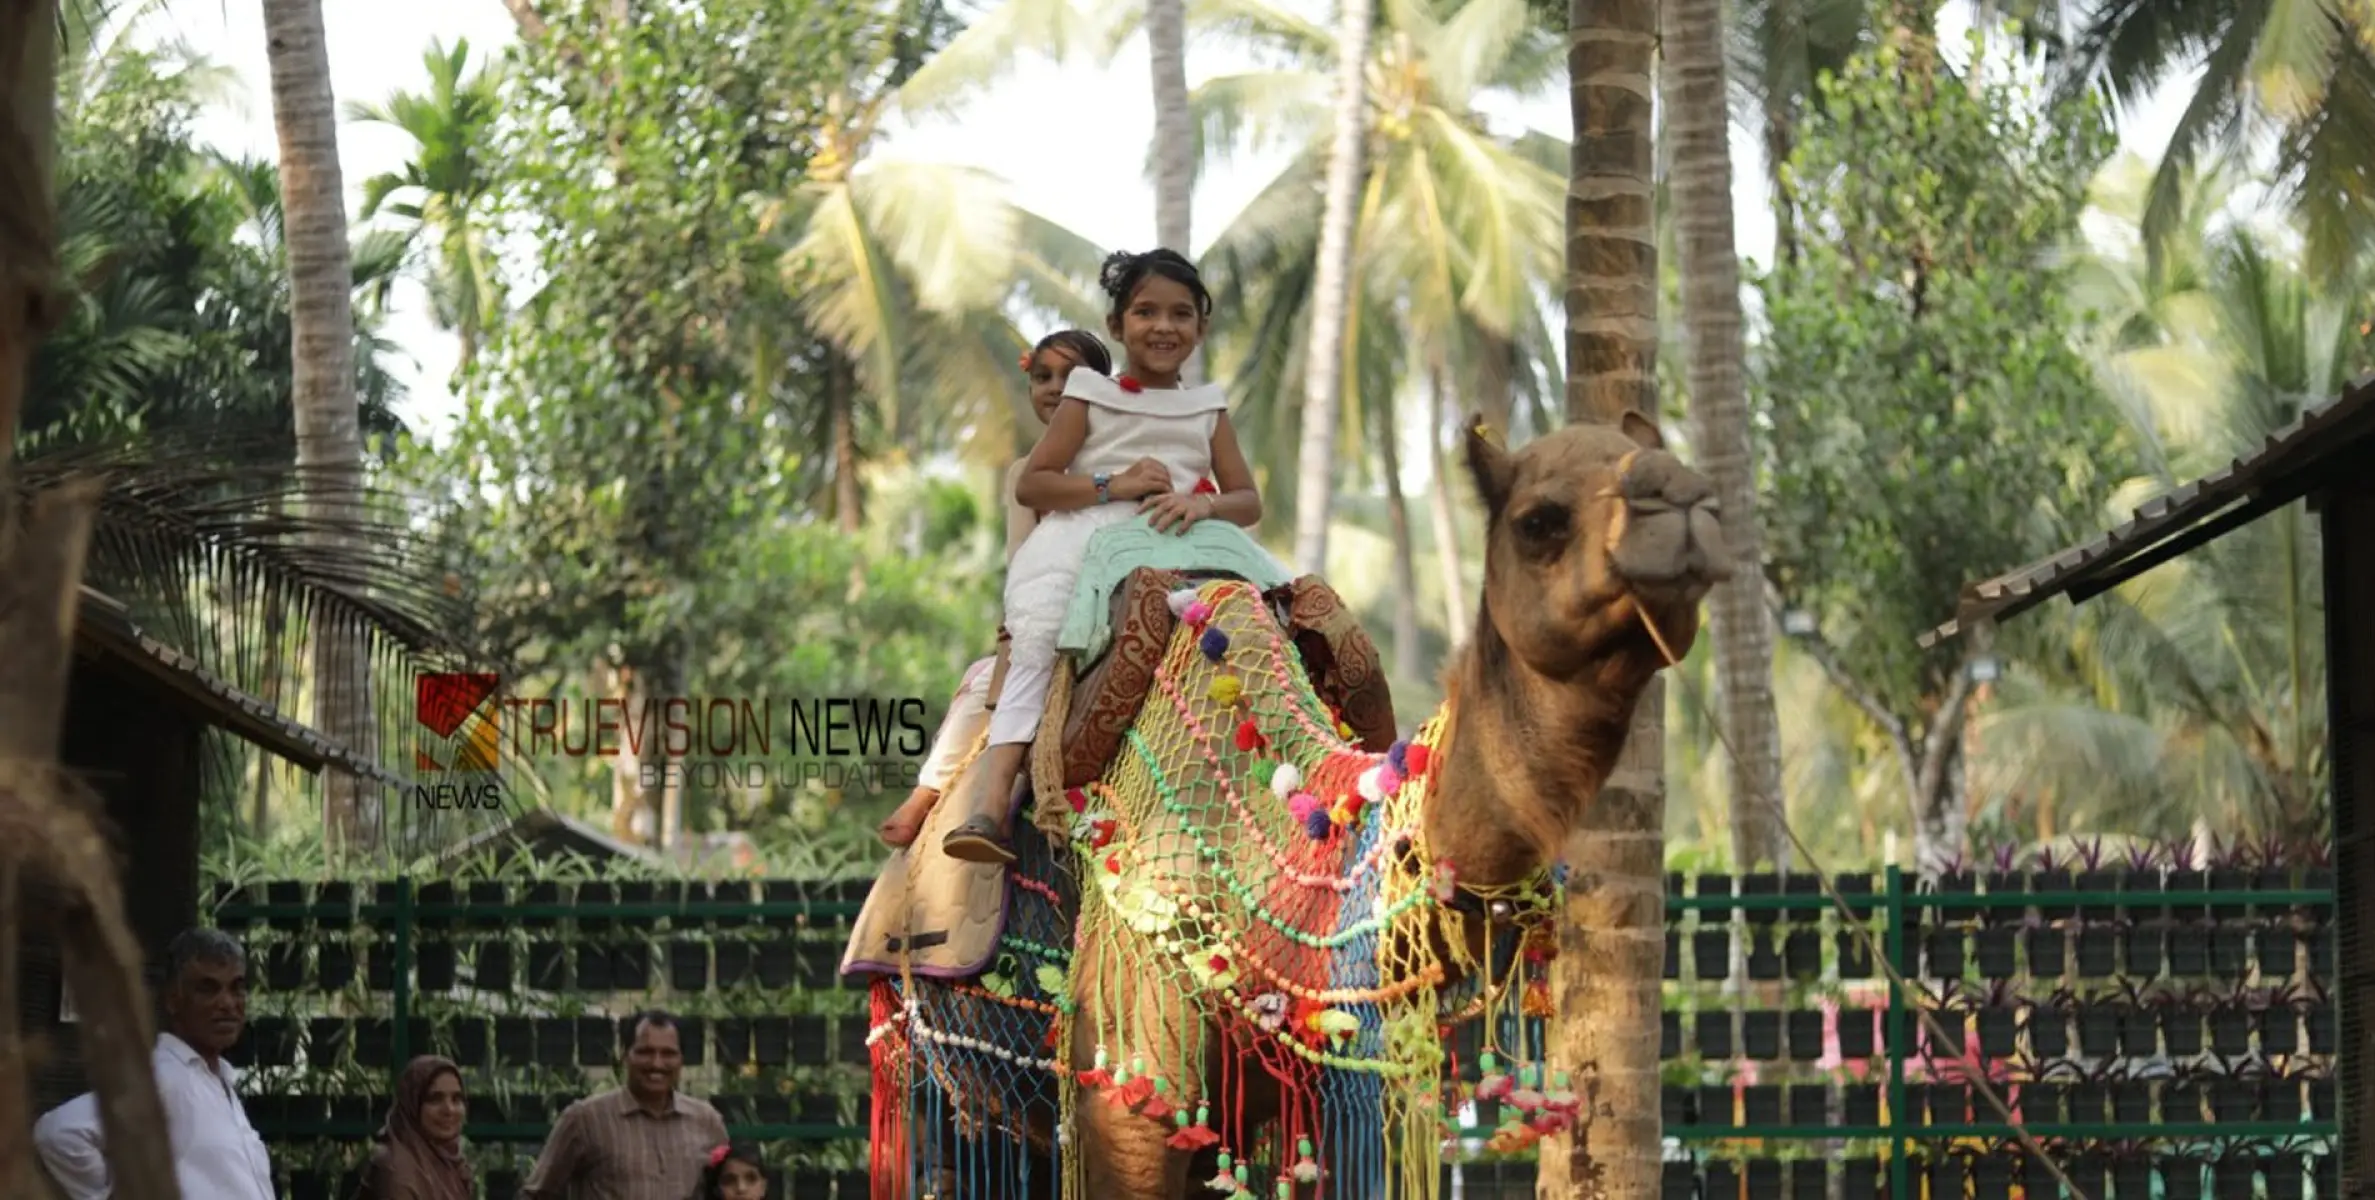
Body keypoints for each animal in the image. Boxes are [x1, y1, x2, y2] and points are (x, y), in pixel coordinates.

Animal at [855, 406, 1729, 1192]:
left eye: (1693, 474)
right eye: (1539, 520)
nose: (1688, 502)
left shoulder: (1342, 1084)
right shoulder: (1127, 1089)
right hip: (922, 1074)